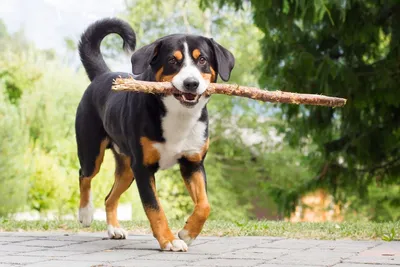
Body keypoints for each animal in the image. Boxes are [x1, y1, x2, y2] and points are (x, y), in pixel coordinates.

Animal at [75, 17, 234, 252]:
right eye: (172, 60)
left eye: (202, 59)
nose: (191, 83)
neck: (178, 116)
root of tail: (102, 75)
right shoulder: (143, 168)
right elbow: (155, 208)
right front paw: (169, 240)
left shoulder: (192, 163)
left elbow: (204, 205)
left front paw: (187, 233)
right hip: (92, 151)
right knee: (84, 175)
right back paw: (85, 213)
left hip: (127, 169)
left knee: (109, 197)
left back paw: (114, 229)